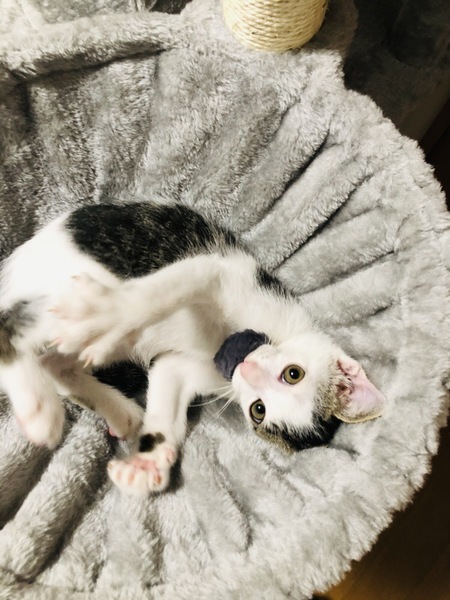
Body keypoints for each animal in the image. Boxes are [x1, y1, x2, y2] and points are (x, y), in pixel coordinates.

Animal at [0, 202, 385, 494]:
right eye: (294, 374)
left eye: (257, 410)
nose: (247, 369)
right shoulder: (220, 271)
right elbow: (169, 288)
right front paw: (111, 312)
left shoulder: (193, 372)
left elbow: (164, 401)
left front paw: (146, 463)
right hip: (65, 289)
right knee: (10, 325)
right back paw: (40, 408)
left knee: (55, 364)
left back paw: (118, 411)